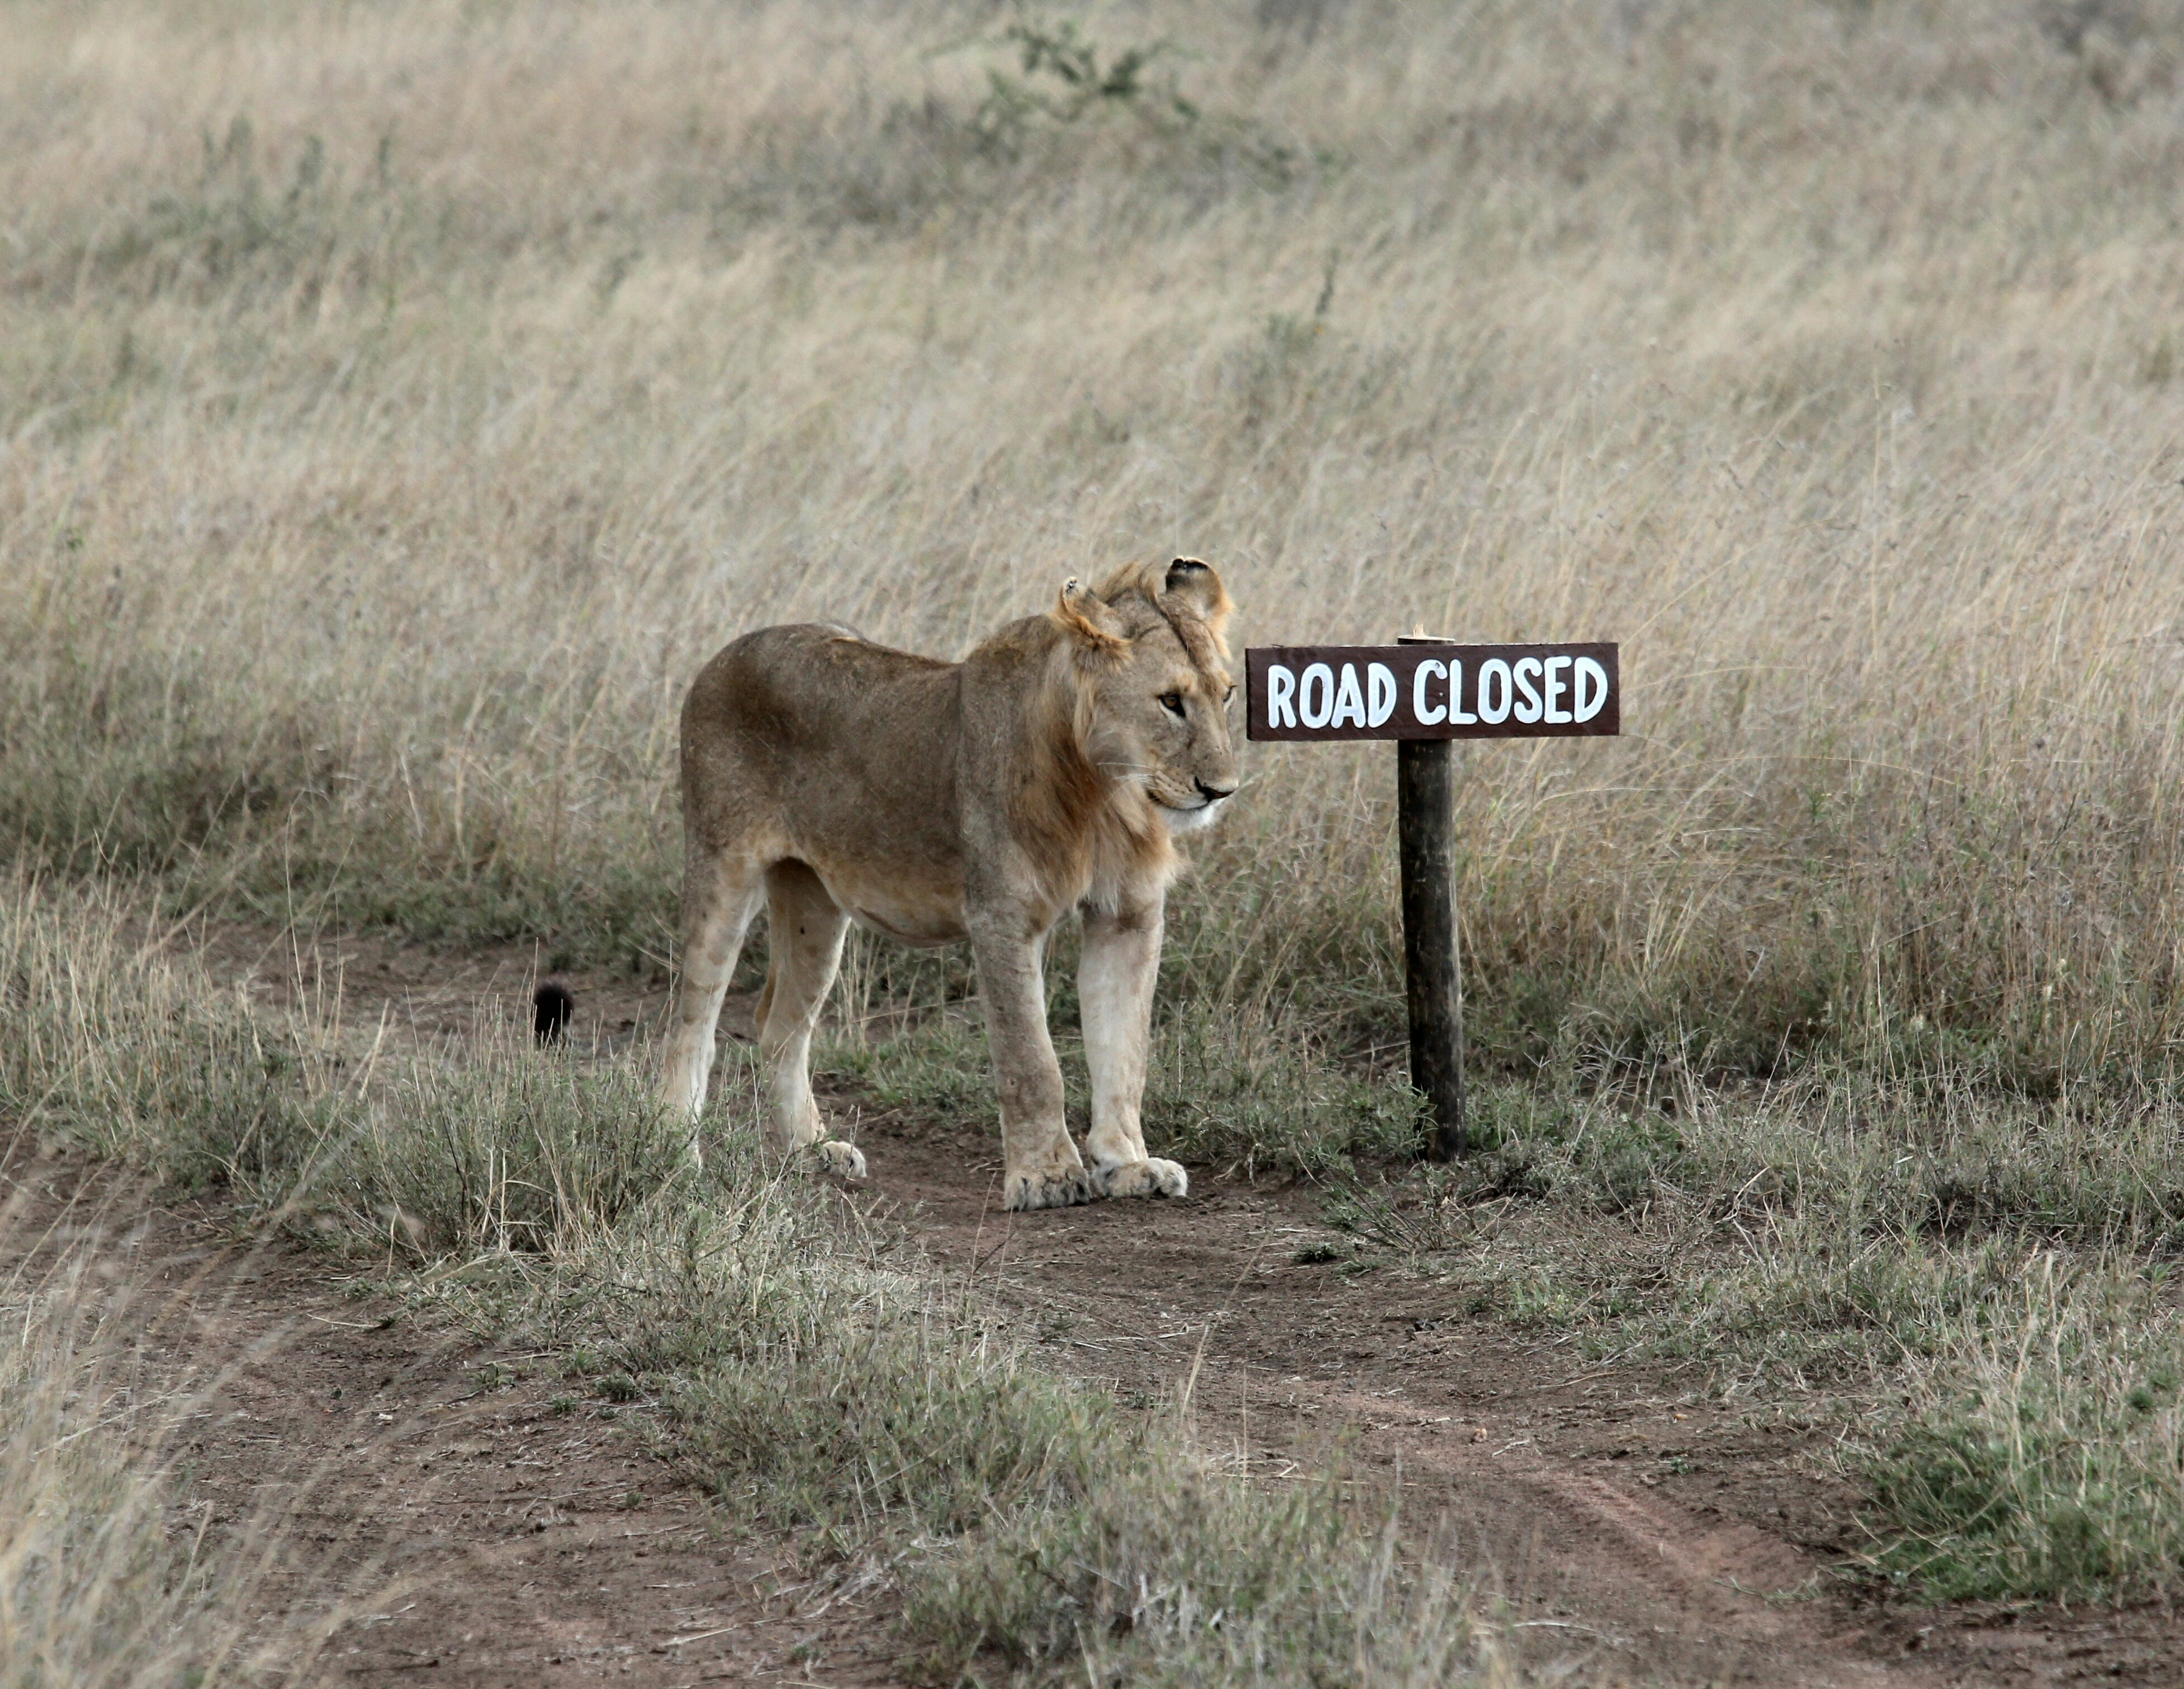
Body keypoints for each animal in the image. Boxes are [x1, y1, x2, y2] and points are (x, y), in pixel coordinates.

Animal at [655, 559, 1240, 1206]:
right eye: (1170, 701)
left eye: (1226, 694)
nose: (1222, 790)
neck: (1107, 791)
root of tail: (727, 652)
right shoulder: (1002, 916)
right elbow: (1032, 1059)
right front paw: (1046, 1176)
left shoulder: (1128, 915)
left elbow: (1124, 1051)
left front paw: (1129, 1164)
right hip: (722, 866)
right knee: (691, 1022)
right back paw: (677, 1154)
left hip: (814, 901)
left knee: (780, 1024)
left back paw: (812, 1150)